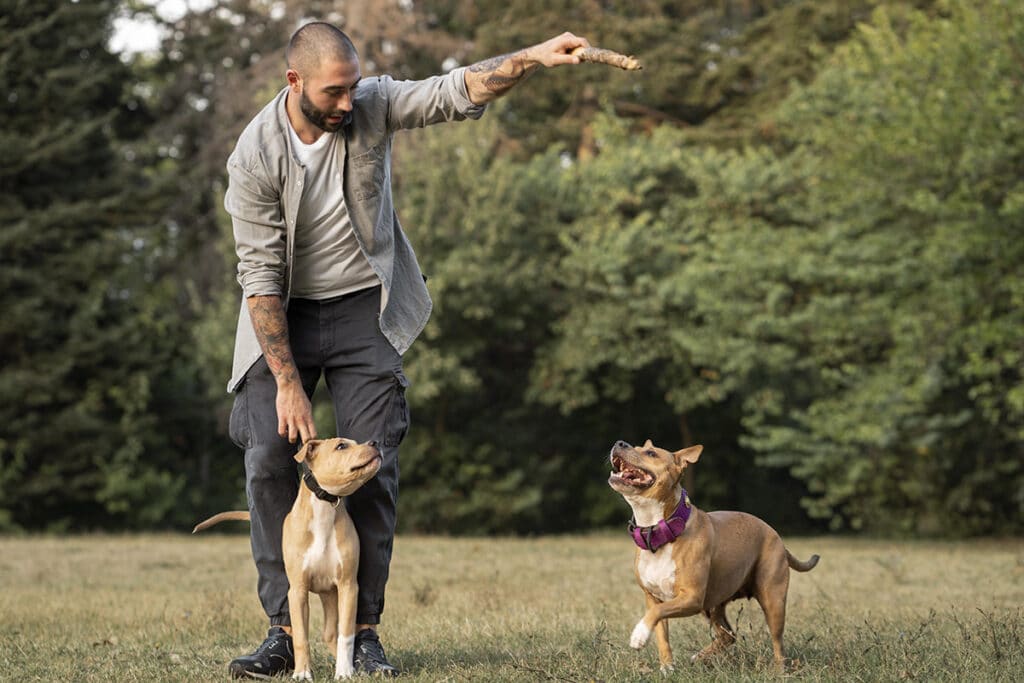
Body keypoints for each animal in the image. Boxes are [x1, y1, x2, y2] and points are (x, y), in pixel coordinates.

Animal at [193, 438, 382, 679]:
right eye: (341, 446)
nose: (374, 442)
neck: (324, 509)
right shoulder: (298, 590)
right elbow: (301, 636)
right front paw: (302, 673)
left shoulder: (348, 586)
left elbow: (346, 634)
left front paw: (345, 671)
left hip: (332, 594)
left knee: (332, 634)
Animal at [606, 440, 815, 671]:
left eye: (651, 453)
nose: (620, 443)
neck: (658, 529)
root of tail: (778, 538)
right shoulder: (654, 598)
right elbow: (662, 633)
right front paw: (667, 667)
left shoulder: (691, 597)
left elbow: (655, 614)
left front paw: (639, 635)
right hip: (714, 604)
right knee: (728, 635)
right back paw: (701, 657)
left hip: (772, 601)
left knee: (777, 642)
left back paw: (779, 670)